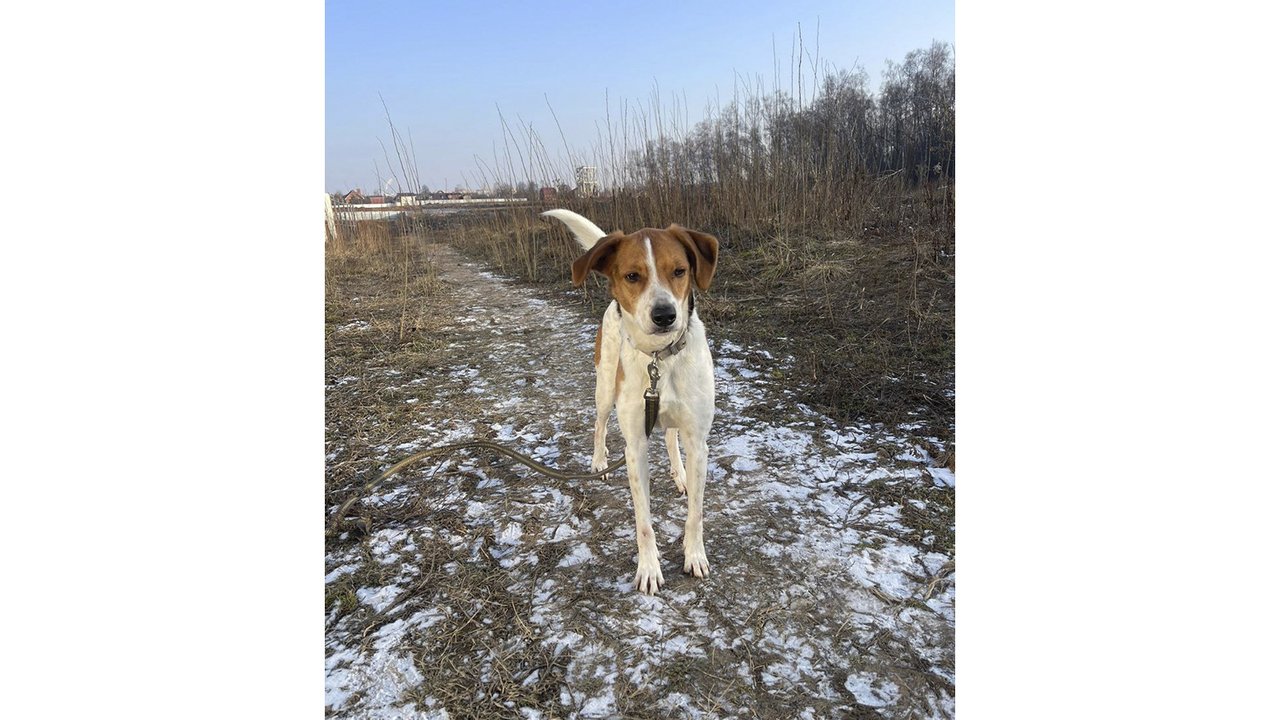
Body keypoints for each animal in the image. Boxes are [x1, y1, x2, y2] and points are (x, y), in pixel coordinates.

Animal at [540, 207, 721, 594]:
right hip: (605, 388)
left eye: (679, 271)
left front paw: (694, 555)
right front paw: (649, 568)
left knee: (670, 437)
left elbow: (695, 514)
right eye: (633, 276)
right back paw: (598, 461)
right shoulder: (635, 446)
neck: (659, 358)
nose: (665, 315)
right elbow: (644, 522)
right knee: (599, 424)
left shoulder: (699, 441)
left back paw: (680, 474)